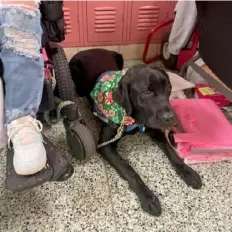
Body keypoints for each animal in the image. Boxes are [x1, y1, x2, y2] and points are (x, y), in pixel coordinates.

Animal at [70, 52, 202, 216]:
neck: (134, 119)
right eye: (146, 92)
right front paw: (148, 197)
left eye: (169, 88)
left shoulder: (155, 129)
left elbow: (172, 153)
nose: (171, 117)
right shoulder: (105, 145)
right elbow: (129, 171)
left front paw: (188, 172)